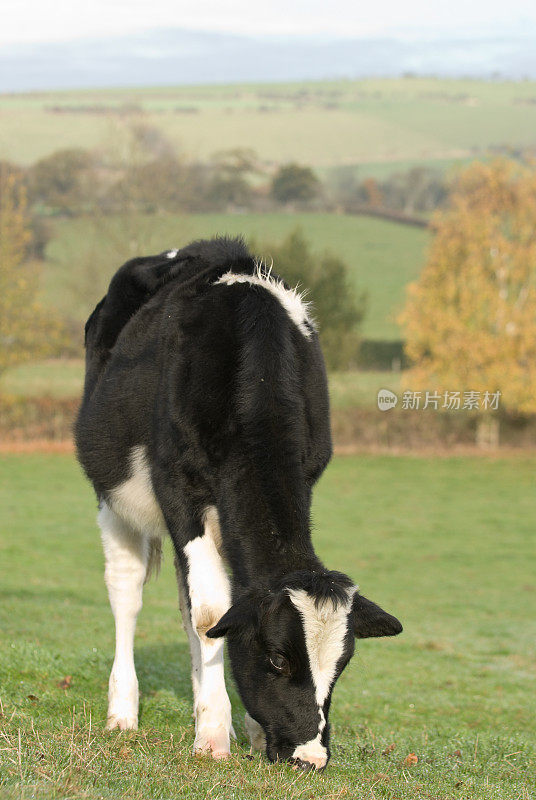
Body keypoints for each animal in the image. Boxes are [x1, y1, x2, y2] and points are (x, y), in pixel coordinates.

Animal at [76, 236, 402, 768]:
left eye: (342, 666)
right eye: (276, 658)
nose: (310, 757)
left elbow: (215, 615)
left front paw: (241, 726)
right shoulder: (180, 492)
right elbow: (213, 614)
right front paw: (212, 736)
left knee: (186, 604)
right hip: (114, 494)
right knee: (126, 590)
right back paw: (123, 711)